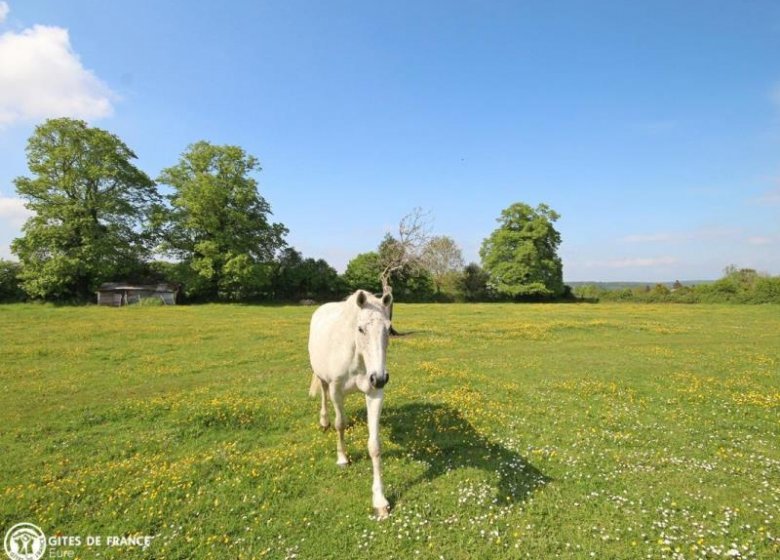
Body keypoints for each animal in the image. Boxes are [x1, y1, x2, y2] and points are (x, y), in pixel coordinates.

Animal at [308, 290, 394, 520]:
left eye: (388, 329)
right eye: (361, 328)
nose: (379, 378)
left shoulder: (374, 394)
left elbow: (374, 446)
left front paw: (379, 501)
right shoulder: (337, 392)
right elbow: (340, 424)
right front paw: (342, 459)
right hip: (322, 377)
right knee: (323, 395)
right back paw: (324, 421)